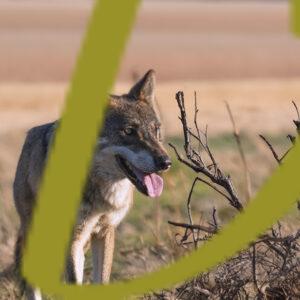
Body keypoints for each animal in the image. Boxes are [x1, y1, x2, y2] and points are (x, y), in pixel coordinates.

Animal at [13, 69, 171, 298]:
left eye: (156, 130)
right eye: (129, 131)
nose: (165, 162)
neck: (102, 190)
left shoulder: (105, 231)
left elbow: (100, 280)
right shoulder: (72, 236)